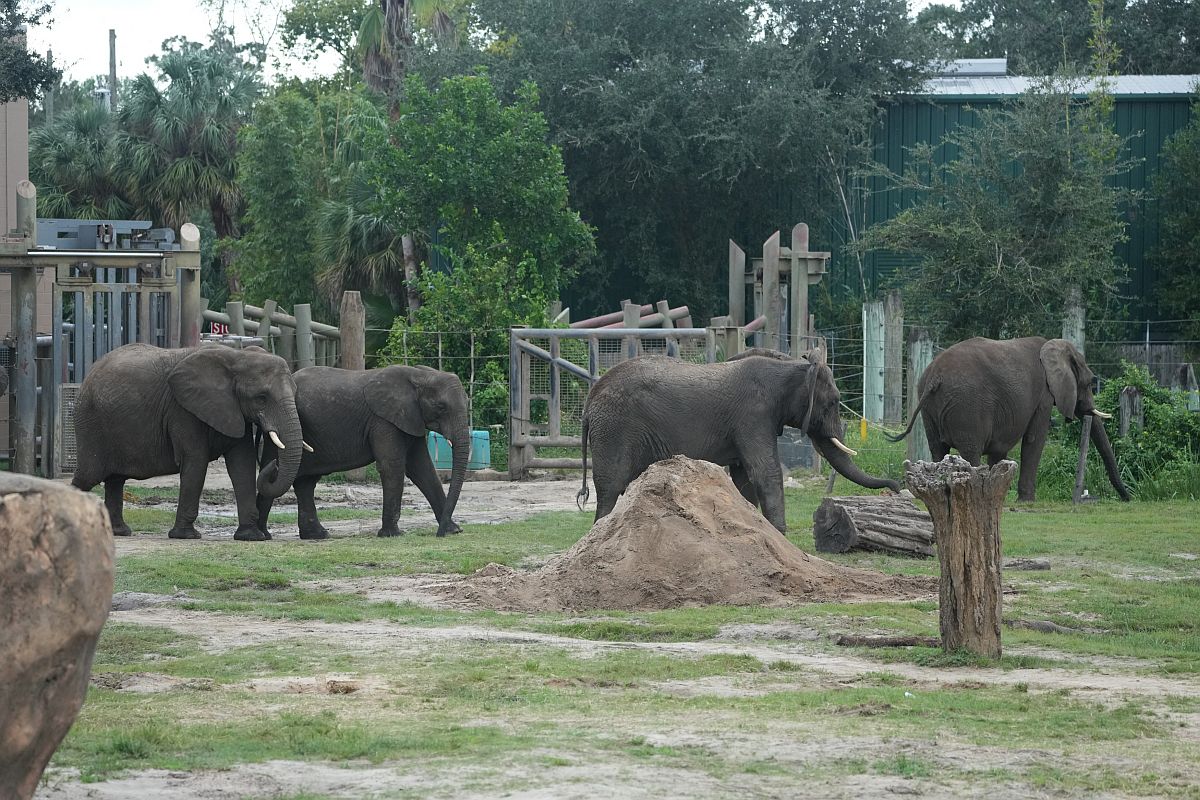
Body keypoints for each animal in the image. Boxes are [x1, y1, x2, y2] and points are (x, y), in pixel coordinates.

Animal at [71, 340, 304, 542]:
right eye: (261, 398)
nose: (273, 465)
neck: (238, 356)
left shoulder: (234, 410)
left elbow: (242, 463)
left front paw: (250, 536)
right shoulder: (182, 409)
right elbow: (196, 460)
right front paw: (186, 536)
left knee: (115, 480)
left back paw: (119, 532)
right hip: (90, 421)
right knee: (88, 476)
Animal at [254, 367, 468, 542]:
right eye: (441, 407)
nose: (438, 534)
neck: (420, 374)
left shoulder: (410, 419)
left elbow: (422, 469)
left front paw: (453, 530)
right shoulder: (383, 420)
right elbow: (392, 466)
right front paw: (392, 535)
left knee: (306, 483)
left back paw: (317, 535)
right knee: (277, 472)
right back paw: (262, 535)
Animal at [573, 355, 902, 532]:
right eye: (833, 402)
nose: (897, 487)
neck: (791, 365)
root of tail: (589, 402)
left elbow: (745, 477)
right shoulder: (753, 415)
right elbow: (765, 471)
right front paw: (780, 533)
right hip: (614, 428)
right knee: (612, 485)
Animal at [888, 335, 1128, 501]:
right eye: (1088, 382)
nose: (1127, 498)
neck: (1054, 346)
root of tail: (934, 377)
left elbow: (1000, 447)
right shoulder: (1043, 395)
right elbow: (1034, 440)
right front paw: (1027, 501)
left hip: (928, 404)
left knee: (938, 448)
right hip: (966, 406)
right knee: (970, 451)